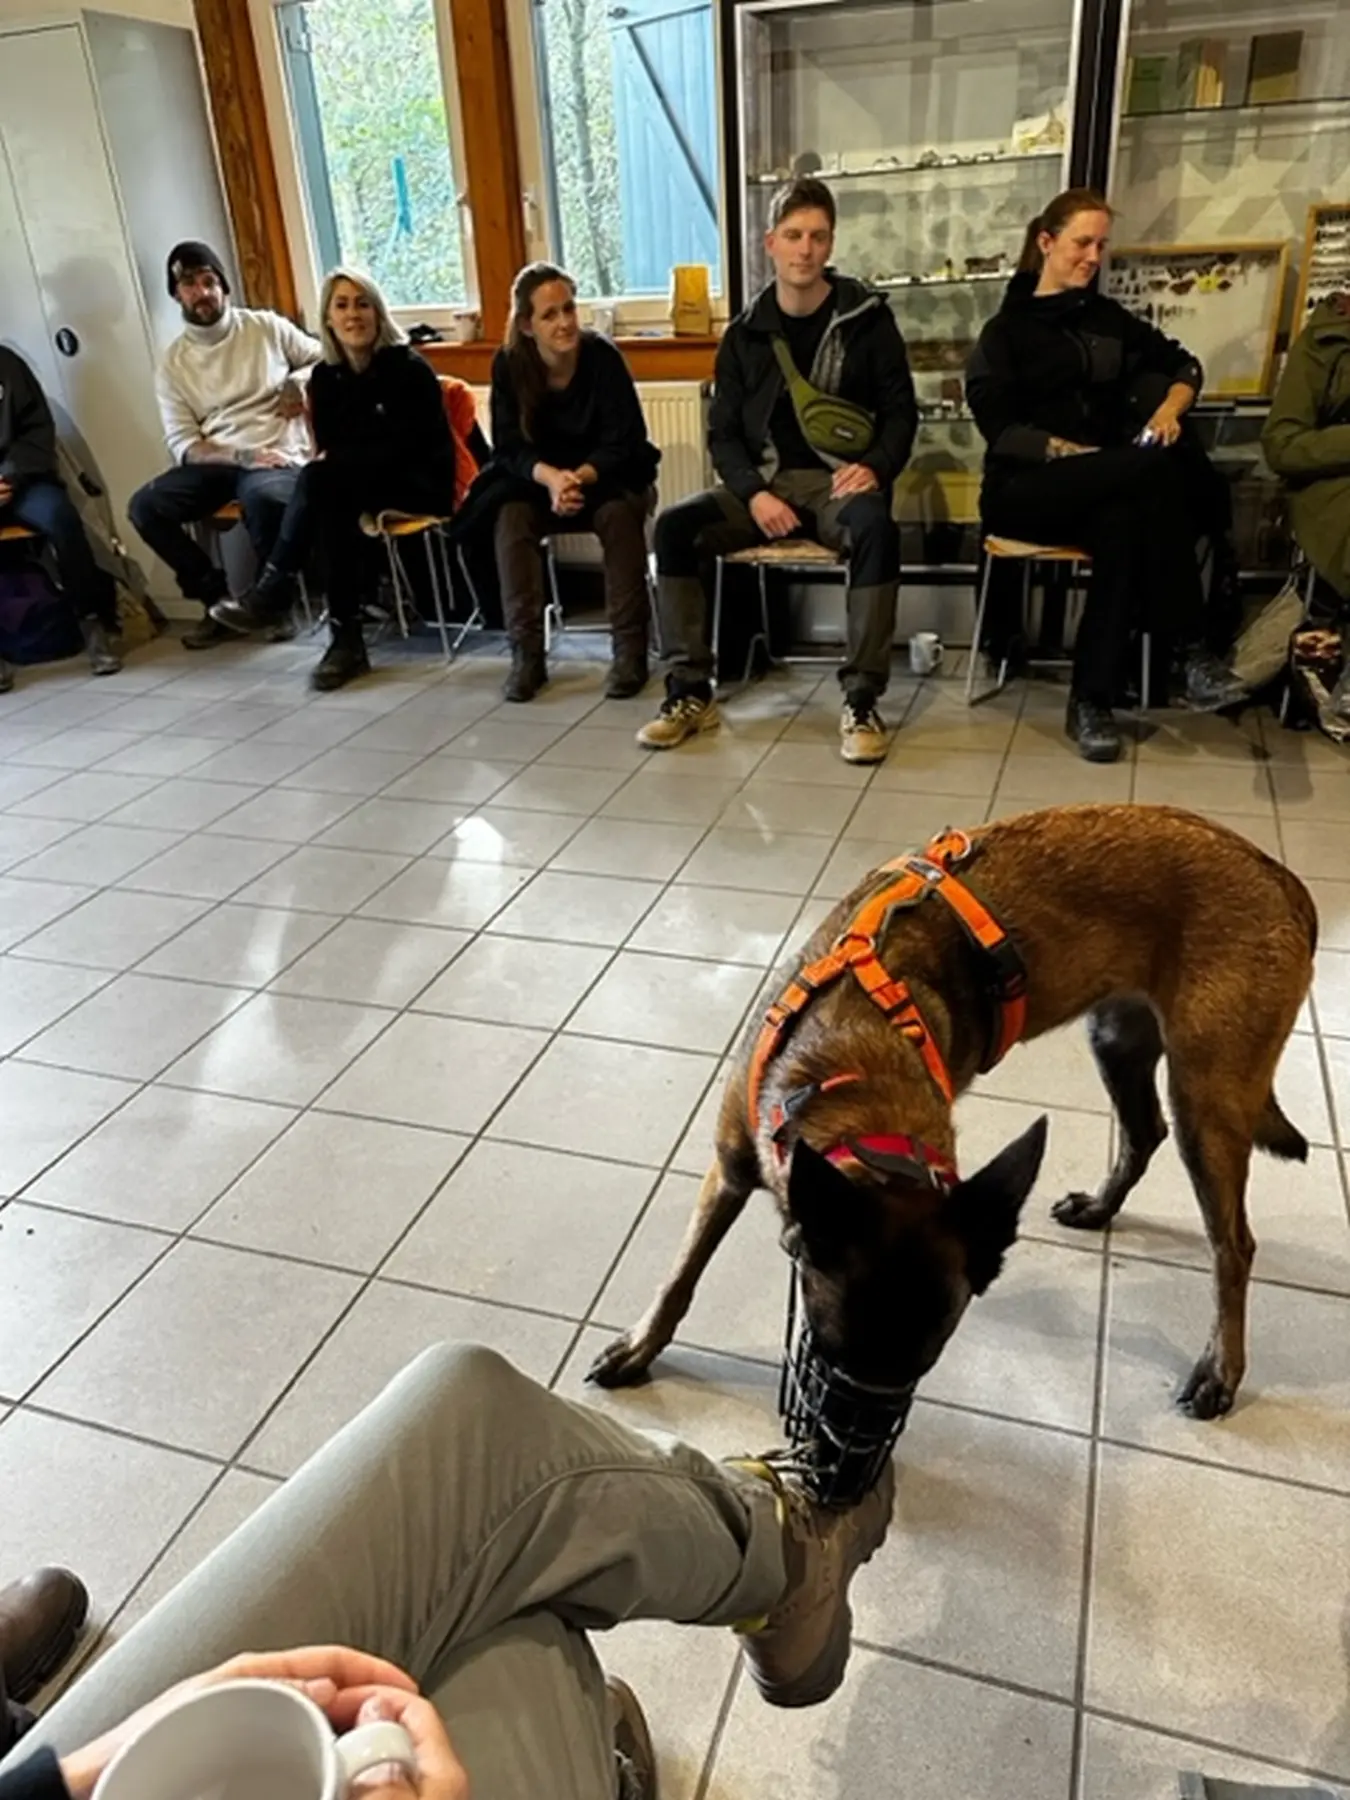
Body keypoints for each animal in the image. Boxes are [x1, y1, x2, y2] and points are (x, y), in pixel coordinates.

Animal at [594, 810, 1324, 1425]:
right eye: (830, 1349)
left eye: (925, 1363)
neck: (850, 1061)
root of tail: (1283, 879)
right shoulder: (728, 1170)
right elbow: (680, 1275)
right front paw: (642, 1345)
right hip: (1118, 1039)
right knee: (1144, 1135)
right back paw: (1100, 1208)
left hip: (1207, 1095)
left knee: (1233, 1246)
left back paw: (1220, 1370)